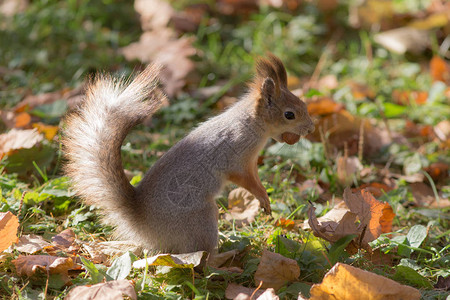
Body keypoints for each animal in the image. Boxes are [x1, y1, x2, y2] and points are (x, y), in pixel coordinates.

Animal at [63, 54, 314, 253]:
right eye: (289, 114)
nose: (310, 129)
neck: (251, 123)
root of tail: (141, 224)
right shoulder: (236, 159)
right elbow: (245, 180)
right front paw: (262, 196)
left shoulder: (251, 162)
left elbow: (255, 178)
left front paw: (265, 199)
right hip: (201, 219)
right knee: (201, 257)